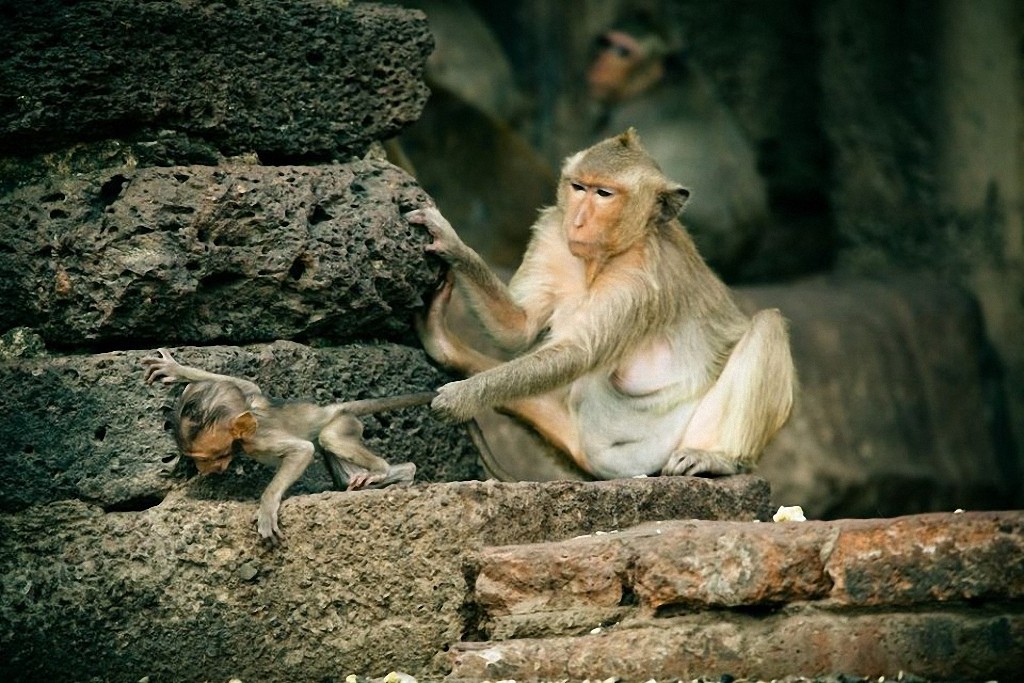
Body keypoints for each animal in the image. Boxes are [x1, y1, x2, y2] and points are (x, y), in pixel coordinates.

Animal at [143, 350, 432, 540]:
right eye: (196, 459)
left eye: (207, 457)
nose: (203, 470)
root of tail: (331, 409)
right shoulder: (249, 399)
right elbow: (247, 384)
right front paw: (175, 369)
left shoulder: (258, 441)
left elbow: (302, 450)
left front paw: (267, 507)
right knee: (337, 461)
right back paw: (403, 474)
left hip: (342, 424)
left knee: (328, 439)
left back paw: (382, 470)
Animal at [411, 127, 794, 481]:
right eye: (579, 187)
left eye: (604, 194)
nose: (578, 220)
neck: (602, 259)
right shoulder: (552, 233)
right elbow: (519, 327)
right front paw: (454, 246)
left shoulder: (639, 278)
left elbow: (578, 352)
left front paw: (464, 397)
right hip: (569, 438)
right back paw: (445, 346)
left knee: (768, 324)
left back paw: (720, 458)